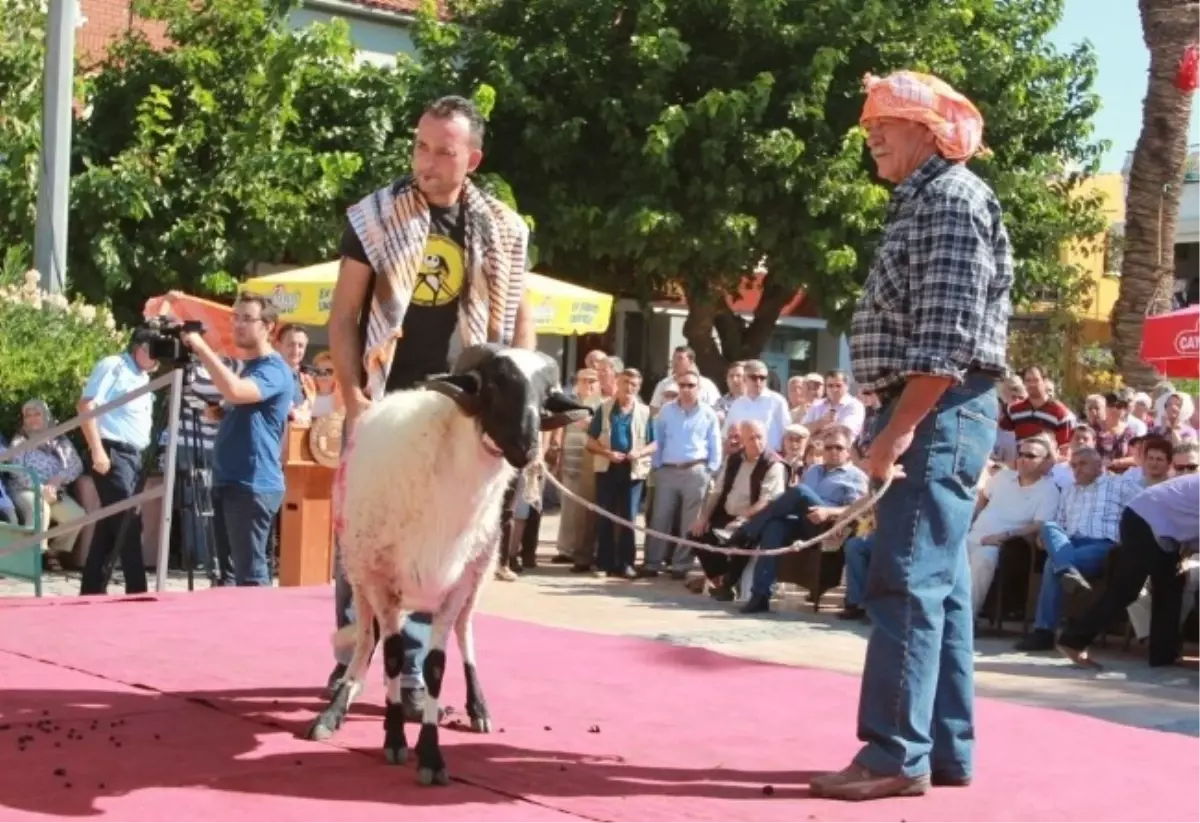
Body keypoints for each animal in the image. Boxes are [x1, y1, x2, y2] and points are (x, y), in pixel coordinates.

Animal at [307, 343, 592, 787]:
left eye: (546, 397)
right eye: (493, 385)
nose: (526, 447)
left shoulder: (454, 588)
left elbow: (436, 667)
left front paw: (430, 755)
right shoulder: (383, 582)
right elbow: (392, 656)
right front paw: (393, 739)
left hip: (478, 575)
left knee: (464, 632)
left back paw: (479, 708)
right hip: (359, 571)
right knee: (367, 640)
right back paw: (336, 708)